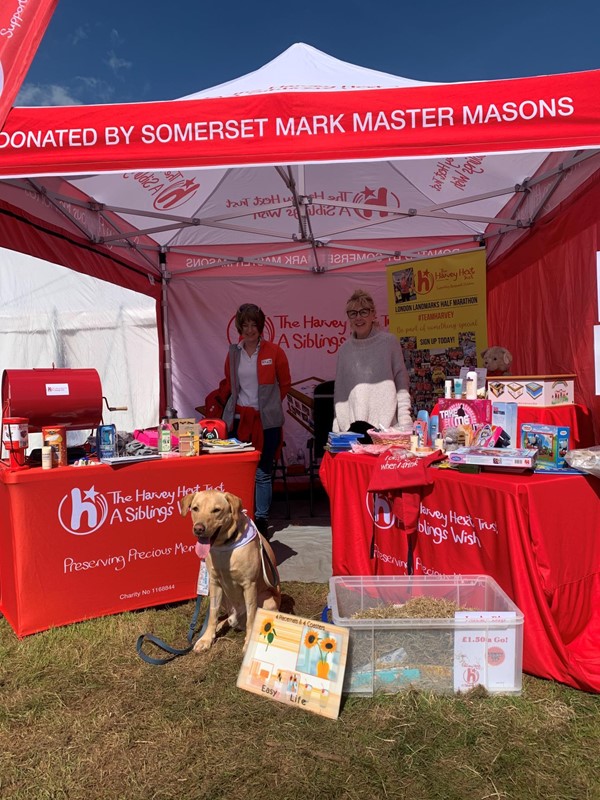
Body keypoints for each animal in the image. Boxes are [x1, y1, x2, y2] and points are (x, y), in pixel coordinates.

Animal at [180, 490, 282, 652]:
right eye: (195, 508)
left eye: (216, 510)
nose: (198, 529)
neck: (225, 546)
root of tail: (236, 619)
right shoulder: (214, 583)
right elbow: (213, 614)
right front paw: (207, 638)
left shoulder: (249, 585)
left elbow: (251, 618)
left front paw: (248, 643)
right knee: (225, 617)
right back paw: (220, 625)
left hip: (267, 601)